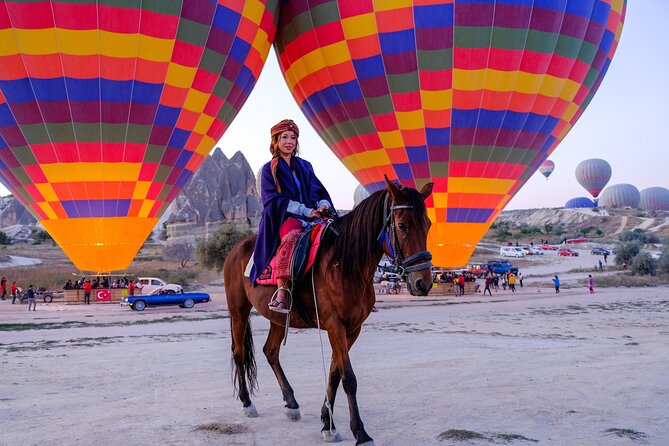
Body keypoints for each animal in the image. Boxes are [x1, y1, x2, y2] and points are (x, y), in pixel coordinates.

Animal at [224, 178, 434, 446]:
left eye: (427, 225)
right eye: (402, 225)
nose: (423, 282)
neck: (346, 263)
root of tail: (237, 249)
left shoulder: (352, 328)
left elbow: (334, 374)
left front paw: (328, 424)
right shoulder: (335, 325)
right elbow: (349, 379)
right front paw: (361, 433)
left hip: (278, 318)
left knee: (270, 351)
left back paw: (291, 403)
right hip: (238, 310)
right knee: (240, 352)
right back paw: (247, 402)